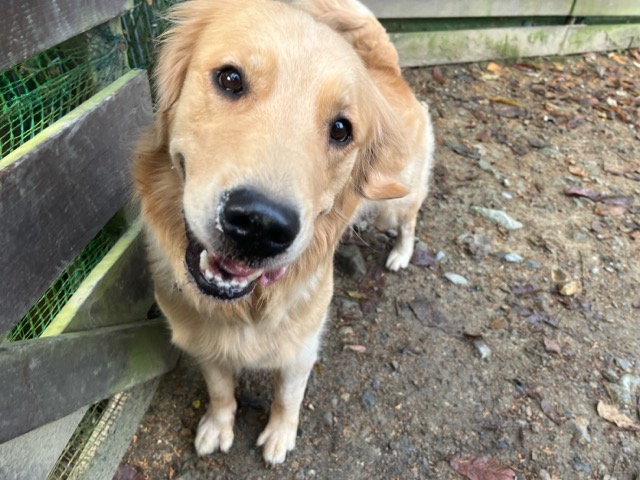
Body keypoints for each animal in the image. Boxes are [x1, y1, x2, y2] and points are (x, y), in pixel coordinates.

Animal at [133, 0, 434, 465]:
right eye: (230, 78)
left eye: (342, 129)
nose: (260, 226)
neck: (244, 306)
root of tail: (389, 68)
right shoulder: (204, 343)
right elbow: (220, 389)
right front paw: (218, 426)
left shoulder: (301, 350)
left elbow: (287, 397)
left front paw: (279, 436)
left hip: (395, 203)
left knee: (410, 219)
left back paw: (401, 253)